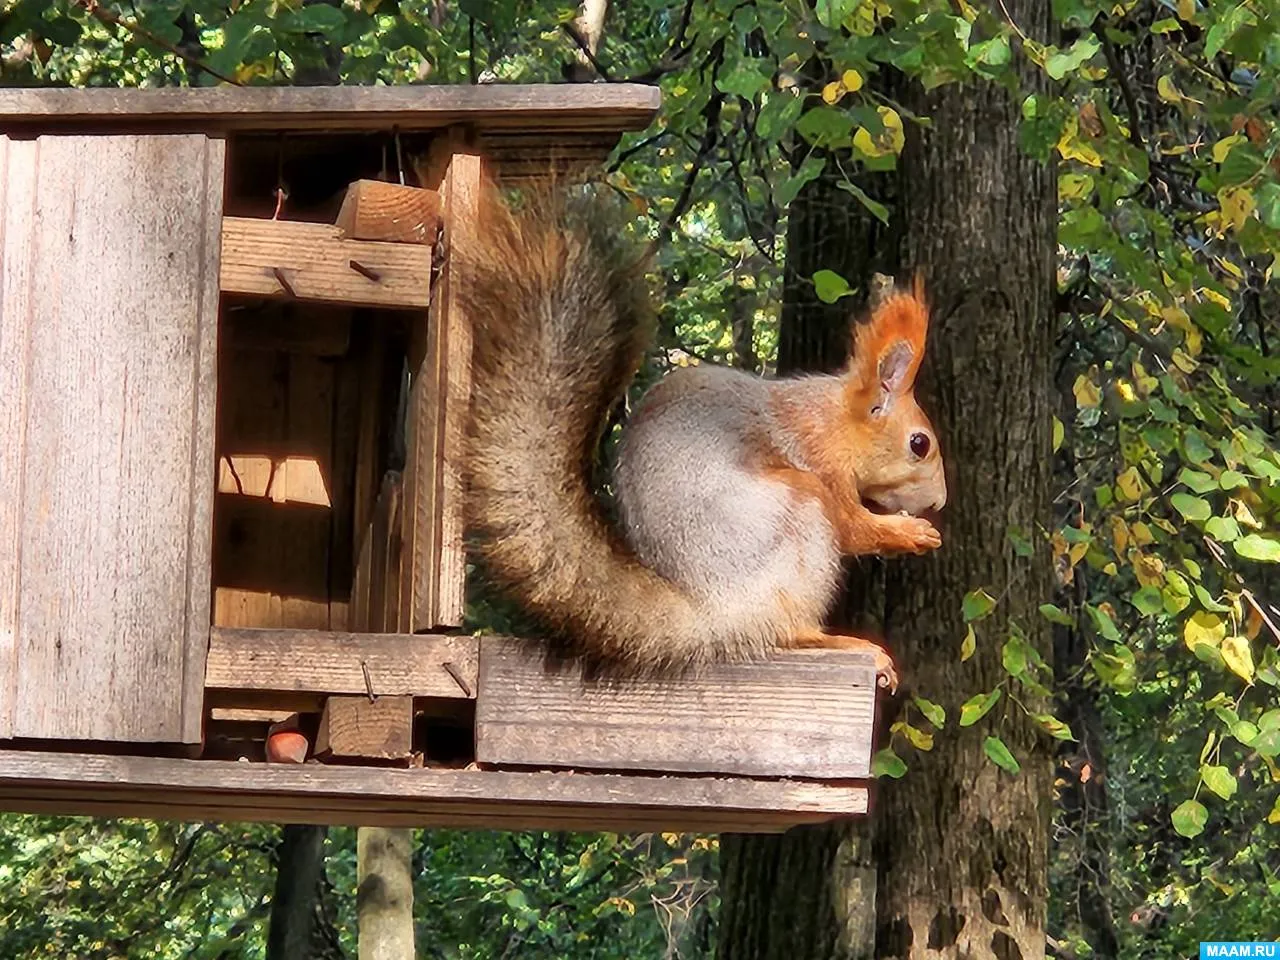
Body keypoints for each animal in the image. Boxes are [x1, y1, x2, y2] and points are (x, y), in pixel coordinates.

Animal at [455, 180, 947, 696]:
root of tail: (711, 613)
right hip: (798, 511)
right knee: (786, 628)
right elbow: (852, 527)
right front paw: (910, 533)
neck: (833, 421)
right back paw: (848, 644)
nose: (938, 502)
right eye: (919, 444)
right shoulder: (819, 461)